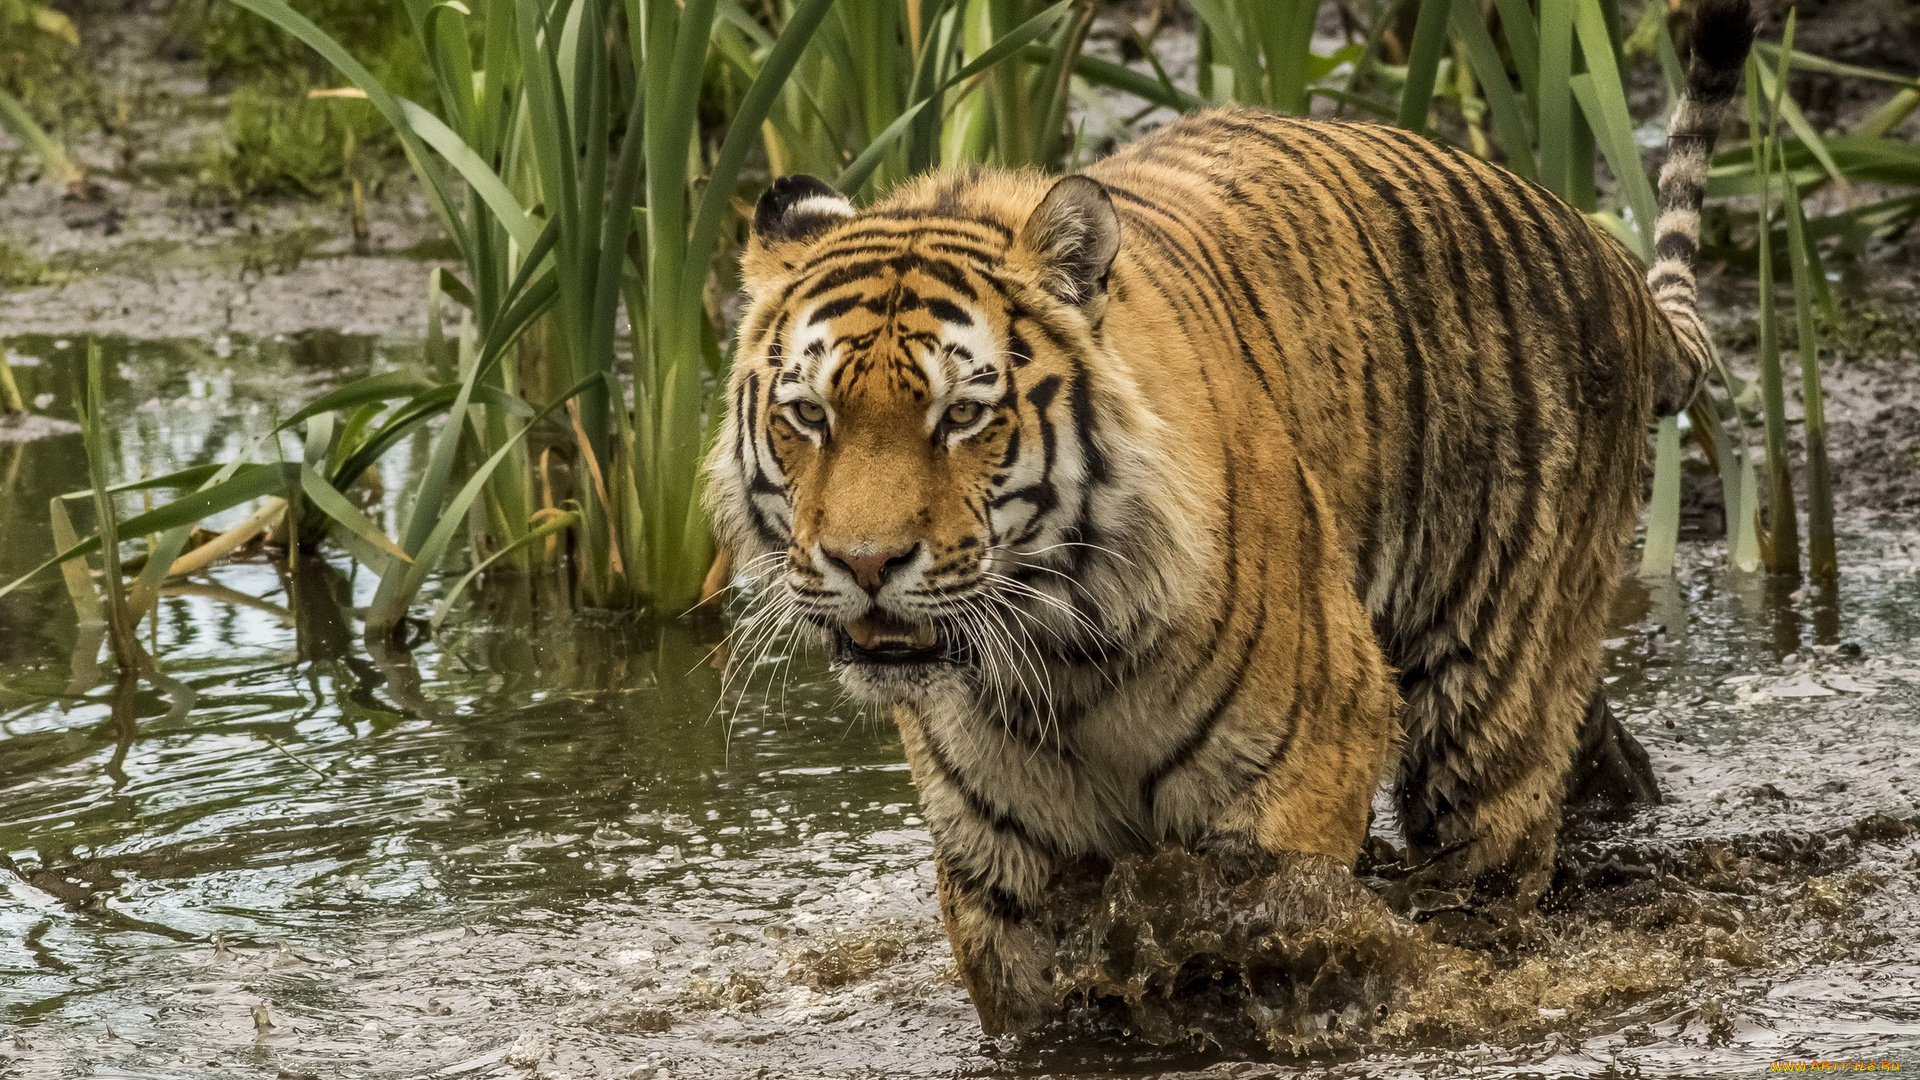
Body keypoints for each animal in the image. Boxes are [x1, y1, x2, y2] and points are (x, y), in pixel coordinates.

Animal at [706, 0, 1758, 1030]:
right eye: (811, 416)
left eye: (961, 415)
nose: (865, 564)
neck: (1062, 656)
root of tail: (1600, 248)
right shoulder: (1001, 864)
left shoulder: (1299, 778)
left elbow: (1269, 941)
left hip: (1486, 701)